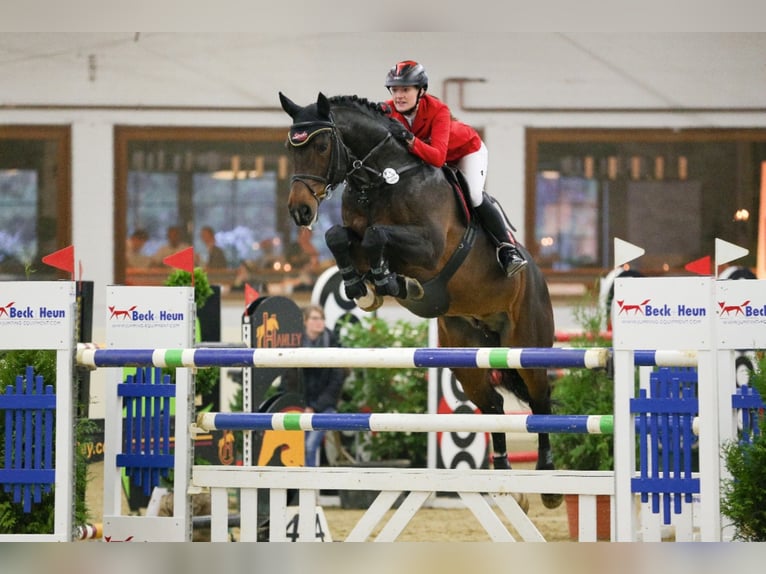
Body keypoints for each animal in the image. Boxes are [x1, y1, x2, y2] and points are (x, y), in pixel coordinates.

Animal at [280, 92, 560, 510]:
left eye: (321, 146)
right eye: (290, 148)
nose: (300, 211)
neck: (379, 178)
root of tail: (538, 279)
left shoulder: (429, 250)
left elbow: (378, 235)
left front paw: (389, 281)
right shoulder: (355, 236)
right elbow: (338, 236)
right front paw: (364, 288)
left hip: (527, 344)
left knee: (540, 402)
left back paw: (549, 483)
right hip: (464, 352)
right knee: (492, 405)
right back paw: (502, 477)